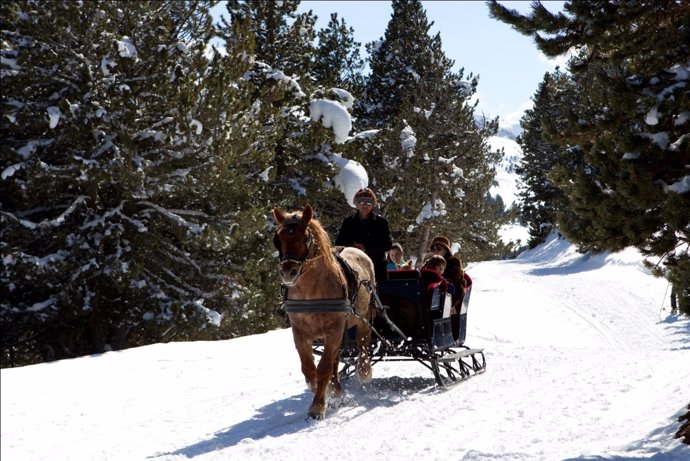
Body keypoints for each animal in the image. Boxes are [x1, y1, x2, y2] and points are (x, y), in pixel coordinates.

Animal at [272, 203, 374, 418]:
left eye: (305, 237)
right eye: (278, 239)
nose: (288, 272)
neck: (311, 292)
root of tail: (357, 250)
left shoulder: (334, 329)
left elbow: (324, 367)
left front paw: (317, 407)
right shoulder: (300, 332)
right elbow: (309, 368)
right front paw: (319, 390)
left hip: (363, 317)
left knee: (363, 341)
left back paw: (364, 371)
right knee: (336, 359)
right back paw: (336, 392)